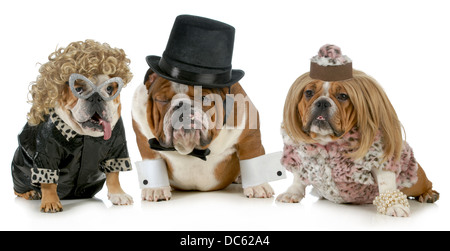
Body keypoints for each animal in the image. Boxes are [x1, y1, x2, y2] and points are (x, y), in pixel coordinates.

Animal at [11, 40, 134, 213]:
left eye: (110, 88)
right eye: (78, 89)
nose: (96, 97)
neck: (86, 135)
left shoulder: (117, 147)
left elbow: (114, 174)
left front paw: (118, 194)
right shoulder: (47, 153)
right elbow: (48, 181)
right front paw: (50, 201)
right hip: (18, 168)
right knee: (19, 187)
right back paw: (30, 193)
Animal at [132, 15, 274, 200]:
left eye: (205, 98)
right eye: (162, 100)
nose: (183, 106)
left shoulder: (249, 134)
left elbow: (252, 154)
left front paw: (258, 186)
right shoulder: (143, 137)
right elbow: (152, 158)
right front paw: (156, 189)